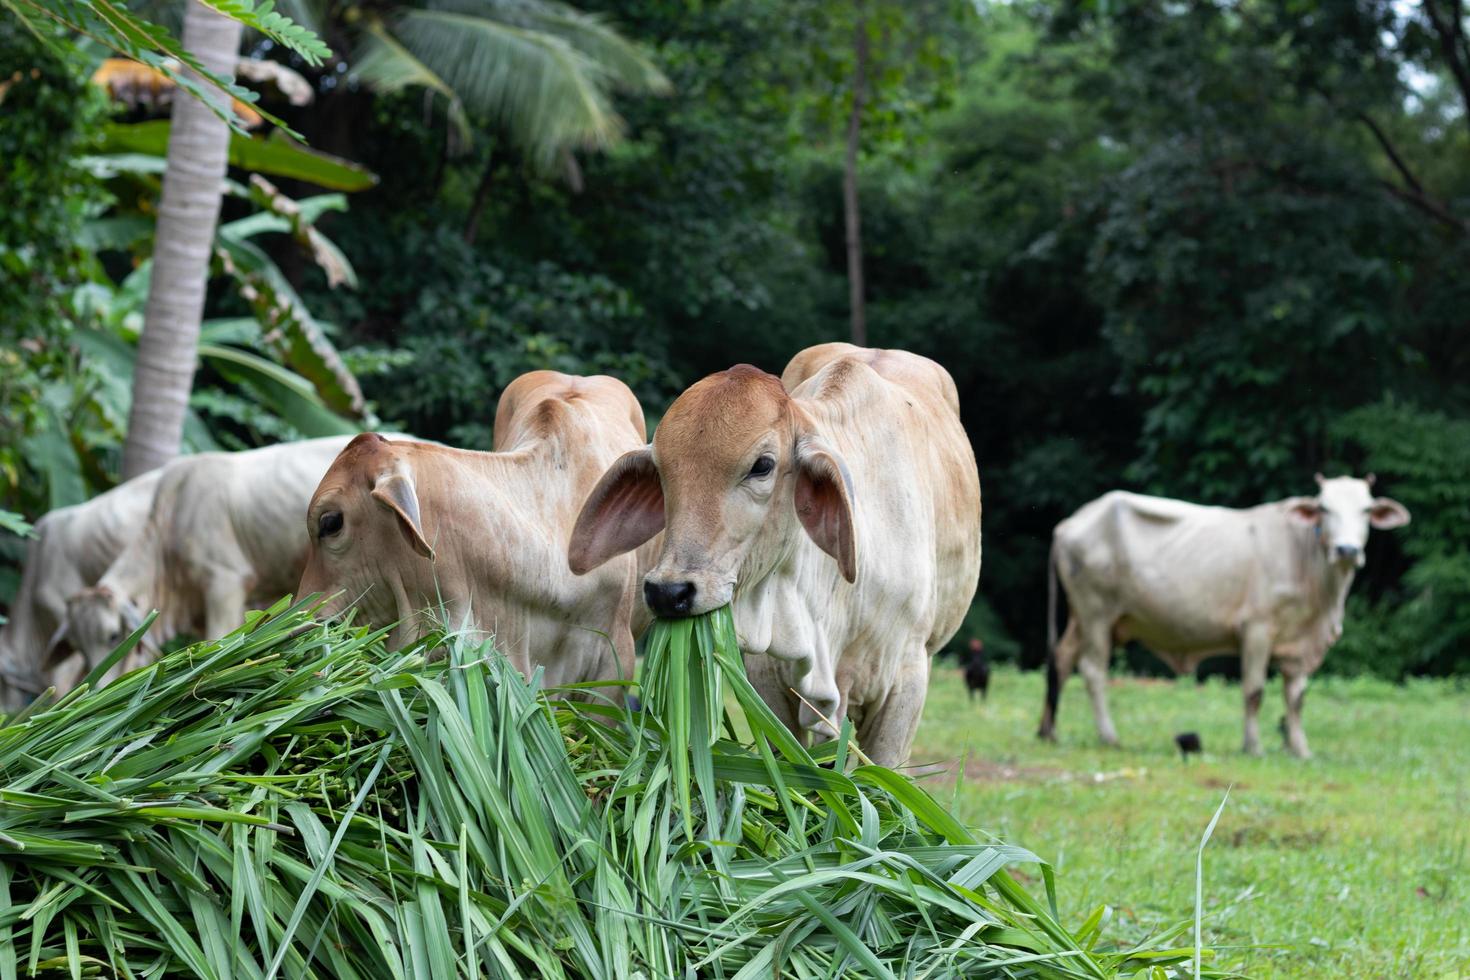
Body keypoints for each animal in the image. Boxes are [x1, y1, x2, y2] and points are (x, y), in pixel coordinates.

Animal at [1040, 476, 1405, 758]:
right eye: (1324, 508)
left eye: (1367, 509)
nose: (1347, 550)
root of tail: (1068, 524)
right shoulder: (1257, 629)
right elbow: (1254, 691)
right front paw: (1253, 746)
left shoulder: (1300, 645)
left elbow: (1296, 698)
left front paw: (1301, 750)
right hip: (1096, 613)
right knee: (1092, 671)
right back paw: (1109, 736)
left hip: (1084, 619)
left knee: (1061, 659)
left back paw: (1048, 731)